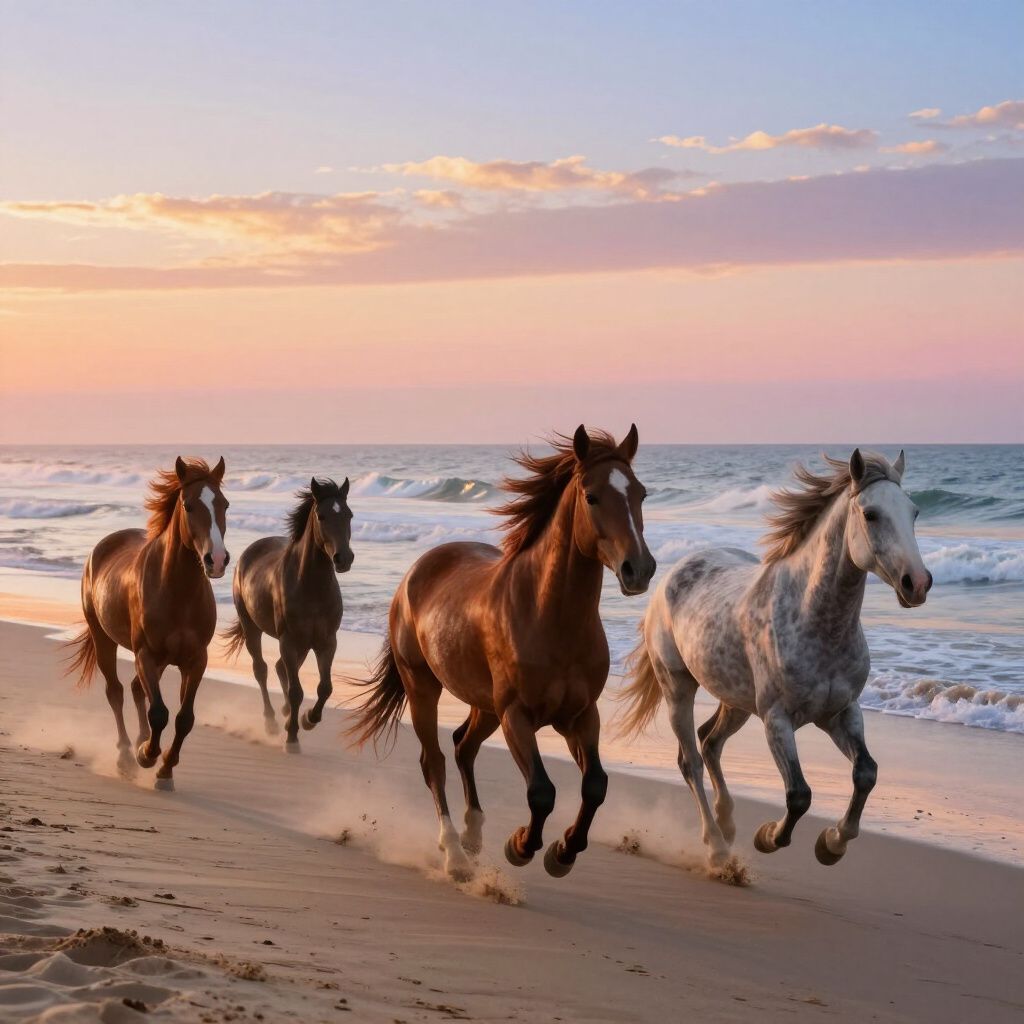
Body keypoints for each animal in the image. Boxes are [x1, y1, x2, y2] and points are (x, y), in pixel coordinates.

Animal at [64, 457, 230, 791]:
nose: (216, 560)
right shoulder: (146, 655)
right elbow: (159, 713)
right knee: (116, 692)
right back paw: (127, 756)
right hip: (104, 639)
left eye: (225, 504)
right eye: (189, 505)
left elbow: (184, 718)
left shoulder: (196, 660)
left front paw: (165, 771)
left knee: (135, 688)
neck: (178, 592)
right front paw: (147, 756)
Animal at [223, 476, 353, 750]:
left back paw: (284, 715)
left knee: (279, 668)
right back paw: (272, 722)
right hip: (253, 628)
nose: (343, 558)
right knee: (261, 669)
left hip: (302, 645)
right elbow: (296, 691)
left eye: (349, 514)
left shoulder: (326, 642)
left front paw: (308, 719)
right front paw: (292, 737)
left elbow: (325, 687)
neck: (312, 587)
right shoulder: (289, 641)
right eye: (322, 516)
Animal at [346, 425, 656, 881]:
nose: (640, 569)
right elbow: (542, 790)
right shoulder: (517, 715)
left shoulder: (581, 715)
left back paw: (473, 839)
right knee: (434, 762)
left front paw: (563, 852)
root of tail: (416, 572)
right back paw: (455, 855)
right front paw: (522, 846)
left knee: (463, 746)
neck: (551, 618)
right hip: (424, 689)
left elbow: (595, 785)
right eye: (592, 496)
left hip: (484, 705)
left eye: (641, 493)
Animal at [617, 449, 932, 871]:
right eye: (871, 514)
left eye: (914, 512)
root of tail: (672, 575)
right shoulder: (777, 719)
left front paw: (832, 844)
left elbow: (865, 773)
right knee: (690, 761)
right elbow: (799, 794)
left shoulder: (841, 712)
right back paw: (717, 848)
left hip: (736, 701)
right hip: (678, 688)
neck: (817, 622)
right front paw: (768, 837)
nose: (918, 583)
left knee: (709, 741)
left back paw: (727, 822)